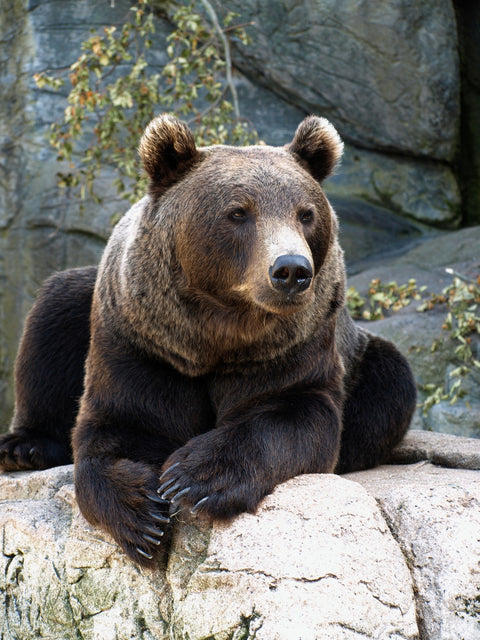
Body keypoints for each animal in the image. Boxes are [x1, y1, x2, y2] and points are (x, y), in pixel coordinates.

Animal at [0, 114, 417, 567]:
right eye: (238, 212)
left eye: (305, 214)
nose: (291, 269)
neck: (216, 334)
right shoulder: (142, 342)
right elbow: (120, 424)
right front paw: (141, 515)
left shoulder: (290, 346)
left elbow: (295, 414)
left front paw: (195, 477)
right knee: (54, 311)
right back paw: (24, 446)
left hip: (361, 357)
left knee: (389, 384)